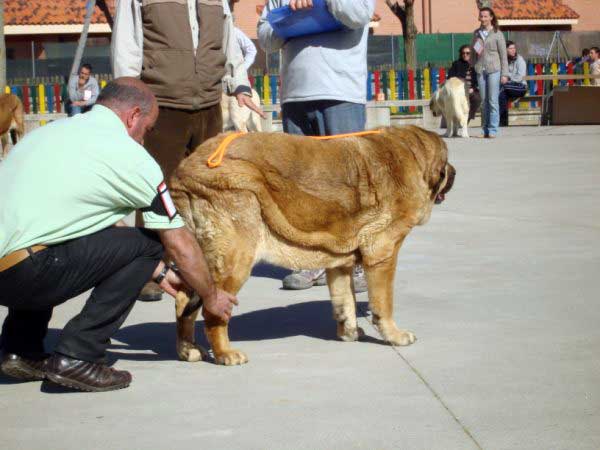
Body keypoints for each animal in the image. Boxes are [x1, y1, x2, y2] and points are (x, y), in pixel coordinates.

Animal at [171, 125, 458, 364]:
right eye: (446, 162)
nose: (455, 172)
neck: (410, 153)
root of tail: (185, 170)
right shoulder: (383, 254)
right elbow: (383, 302)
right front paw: (395, 335)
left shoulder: (340, 261)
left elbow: (345, 300)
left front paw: (350, 332)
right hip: (235, 259)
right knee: (213, 310)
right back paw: (225, 354)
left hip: (200, 258)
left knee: (184, 301)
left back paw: (188, 350)